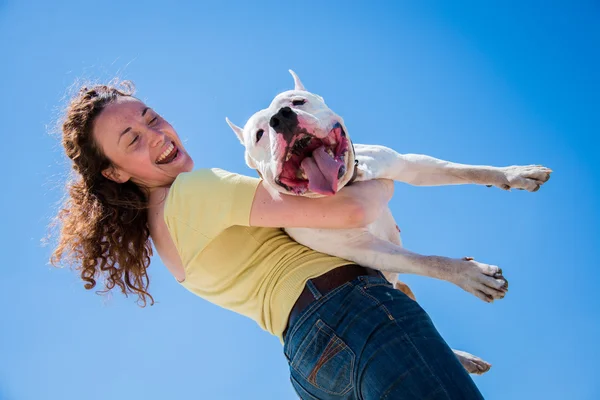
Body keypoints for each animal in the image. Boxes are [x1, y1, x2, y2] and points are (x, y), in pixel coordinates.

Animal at [226, 70, 552, 374]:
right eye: (259, 134)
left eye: (297, 102)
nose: (281, 118)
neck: (347, 185)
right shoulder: (363, 248)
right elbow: (428, 261)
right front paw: (473, 275)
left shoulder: (408, 164)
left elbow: (464, 170)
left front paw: (515, 173)